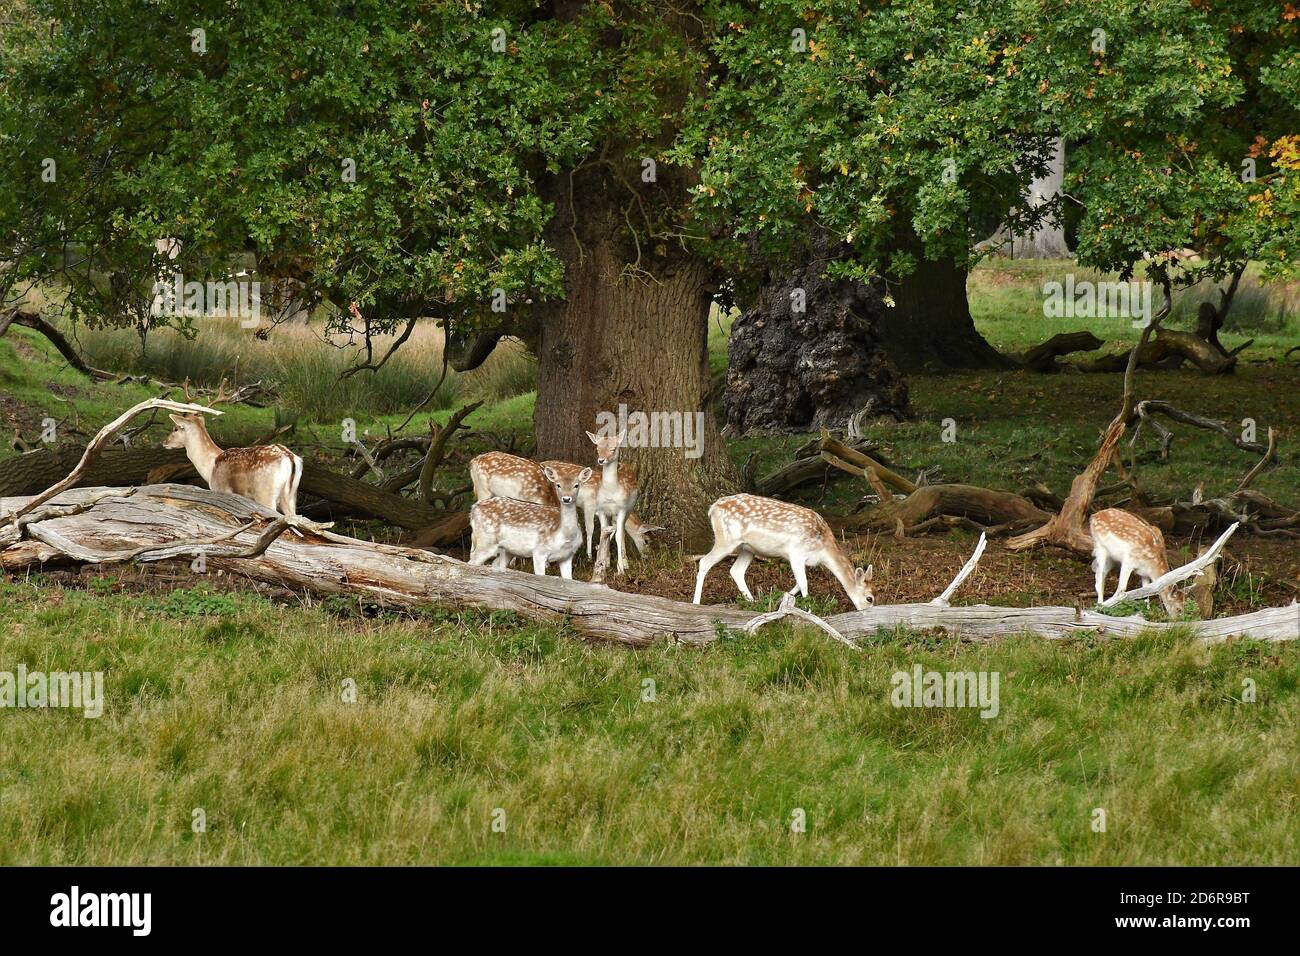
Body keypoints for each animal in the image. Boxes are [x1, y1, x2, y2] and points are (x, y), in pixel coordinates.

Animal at [691, 496, 873, 608]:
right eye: (869, 598)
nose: (866, 611)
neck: (823, 549)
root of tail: (712, 508)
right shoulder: (796, 554)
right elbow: (804, 583)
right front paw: (809, 610)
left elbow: (798, 584)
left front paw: (781, 601)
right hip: (727, 540)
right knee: (704, 562)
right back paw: (696, 602)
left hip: (748, 548)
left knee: (736, 571)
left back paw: (753, 602)